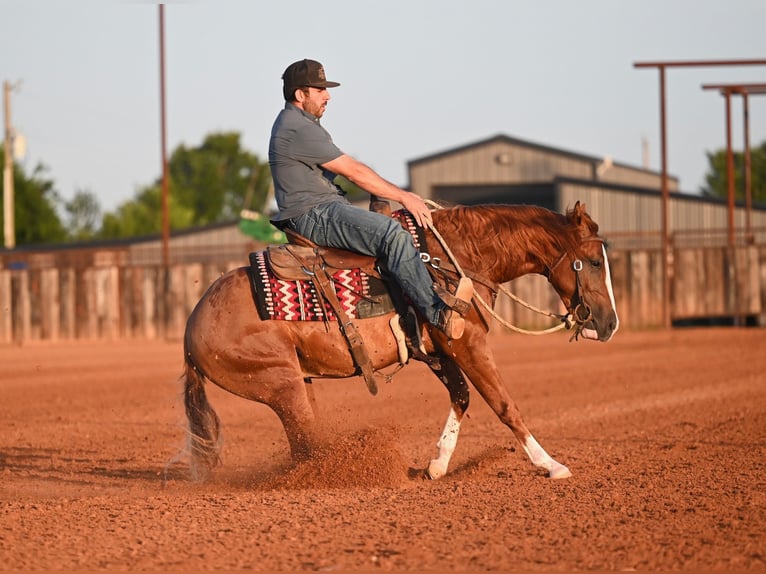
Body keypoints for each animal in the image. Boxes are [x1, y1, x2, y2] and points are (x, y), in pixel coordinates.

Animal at [180, 201, 619, 481]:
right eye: (594, 262)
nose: (610, 323)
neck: (453, 261)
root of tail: (191, 328)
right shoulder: (467, 343)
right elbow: (504, 405)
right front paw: (551, 465)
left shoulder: (439, 350)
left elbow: (462, 397)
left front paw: (437, 465)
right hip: (281, 385)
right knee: (305, 444)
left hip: (297, 383)